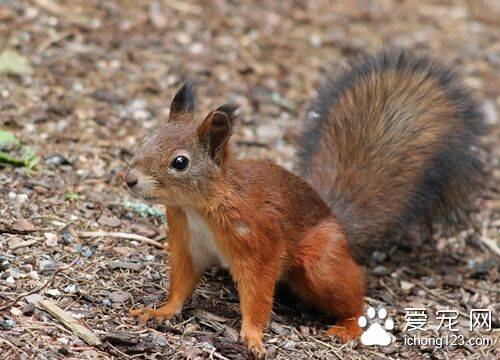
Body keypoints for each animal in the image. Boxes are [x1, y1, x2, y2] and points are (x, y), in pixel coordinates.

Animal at [123, 48, 486, 358]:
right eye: (145, 139)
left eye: (180, 162)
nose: (129, 180)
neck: (200, 207)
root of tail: (339, 223)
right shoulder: (186, 239)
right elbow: (182, 283)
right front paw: (159, 311)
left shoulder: (260, 240)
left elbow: (258, 294)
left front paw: (253, 338)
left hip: (322, 263)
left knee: (355, 294)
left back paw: (349, 327)